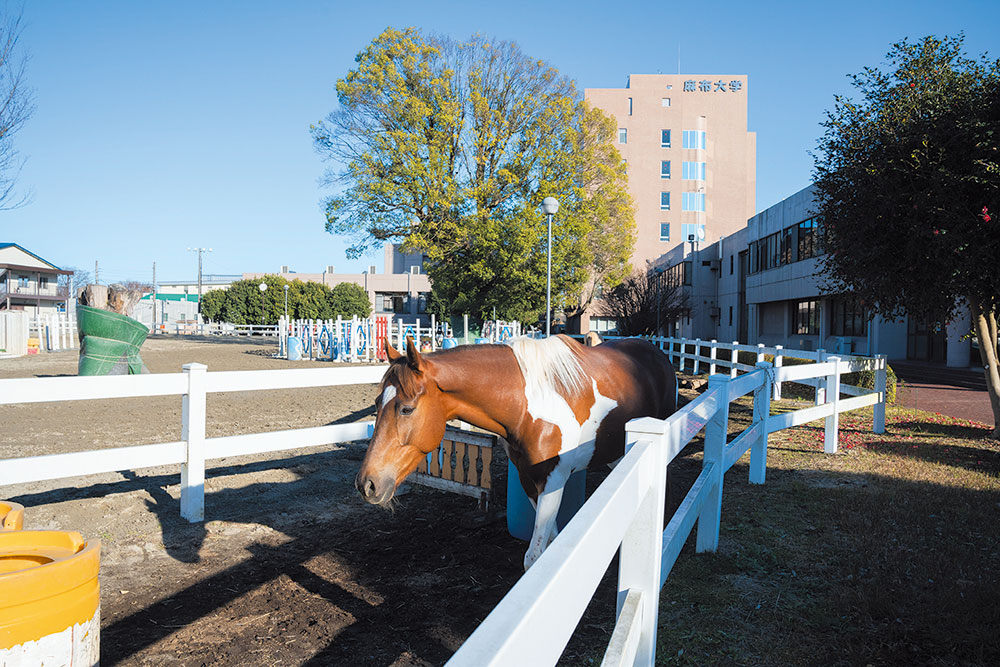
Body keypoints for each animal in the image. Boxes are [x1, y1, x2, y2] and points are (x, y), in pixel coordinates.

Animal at [355, 334, 677, 570]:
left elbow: (533, 558)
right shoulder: (528, 480)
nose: (366, 484)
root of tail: (657, 353)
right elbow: (550, 543)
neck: (528, 405)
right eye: (377, 403)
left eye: (406, 409)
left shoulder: (553, 480)